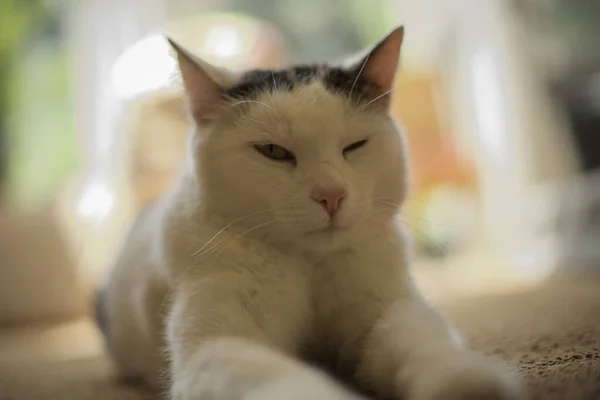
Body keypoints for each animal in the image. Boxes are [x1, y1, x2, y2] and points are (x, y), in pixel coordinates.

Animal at [96, 27, 524, 400]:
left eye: (355, 146)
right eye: (273, 152)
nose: (331, 196)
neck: (309, 267)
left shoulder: (388, 310)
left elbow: (423, 341)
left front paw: (467, 382)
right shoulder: (217, 342)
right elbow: (276, 378)